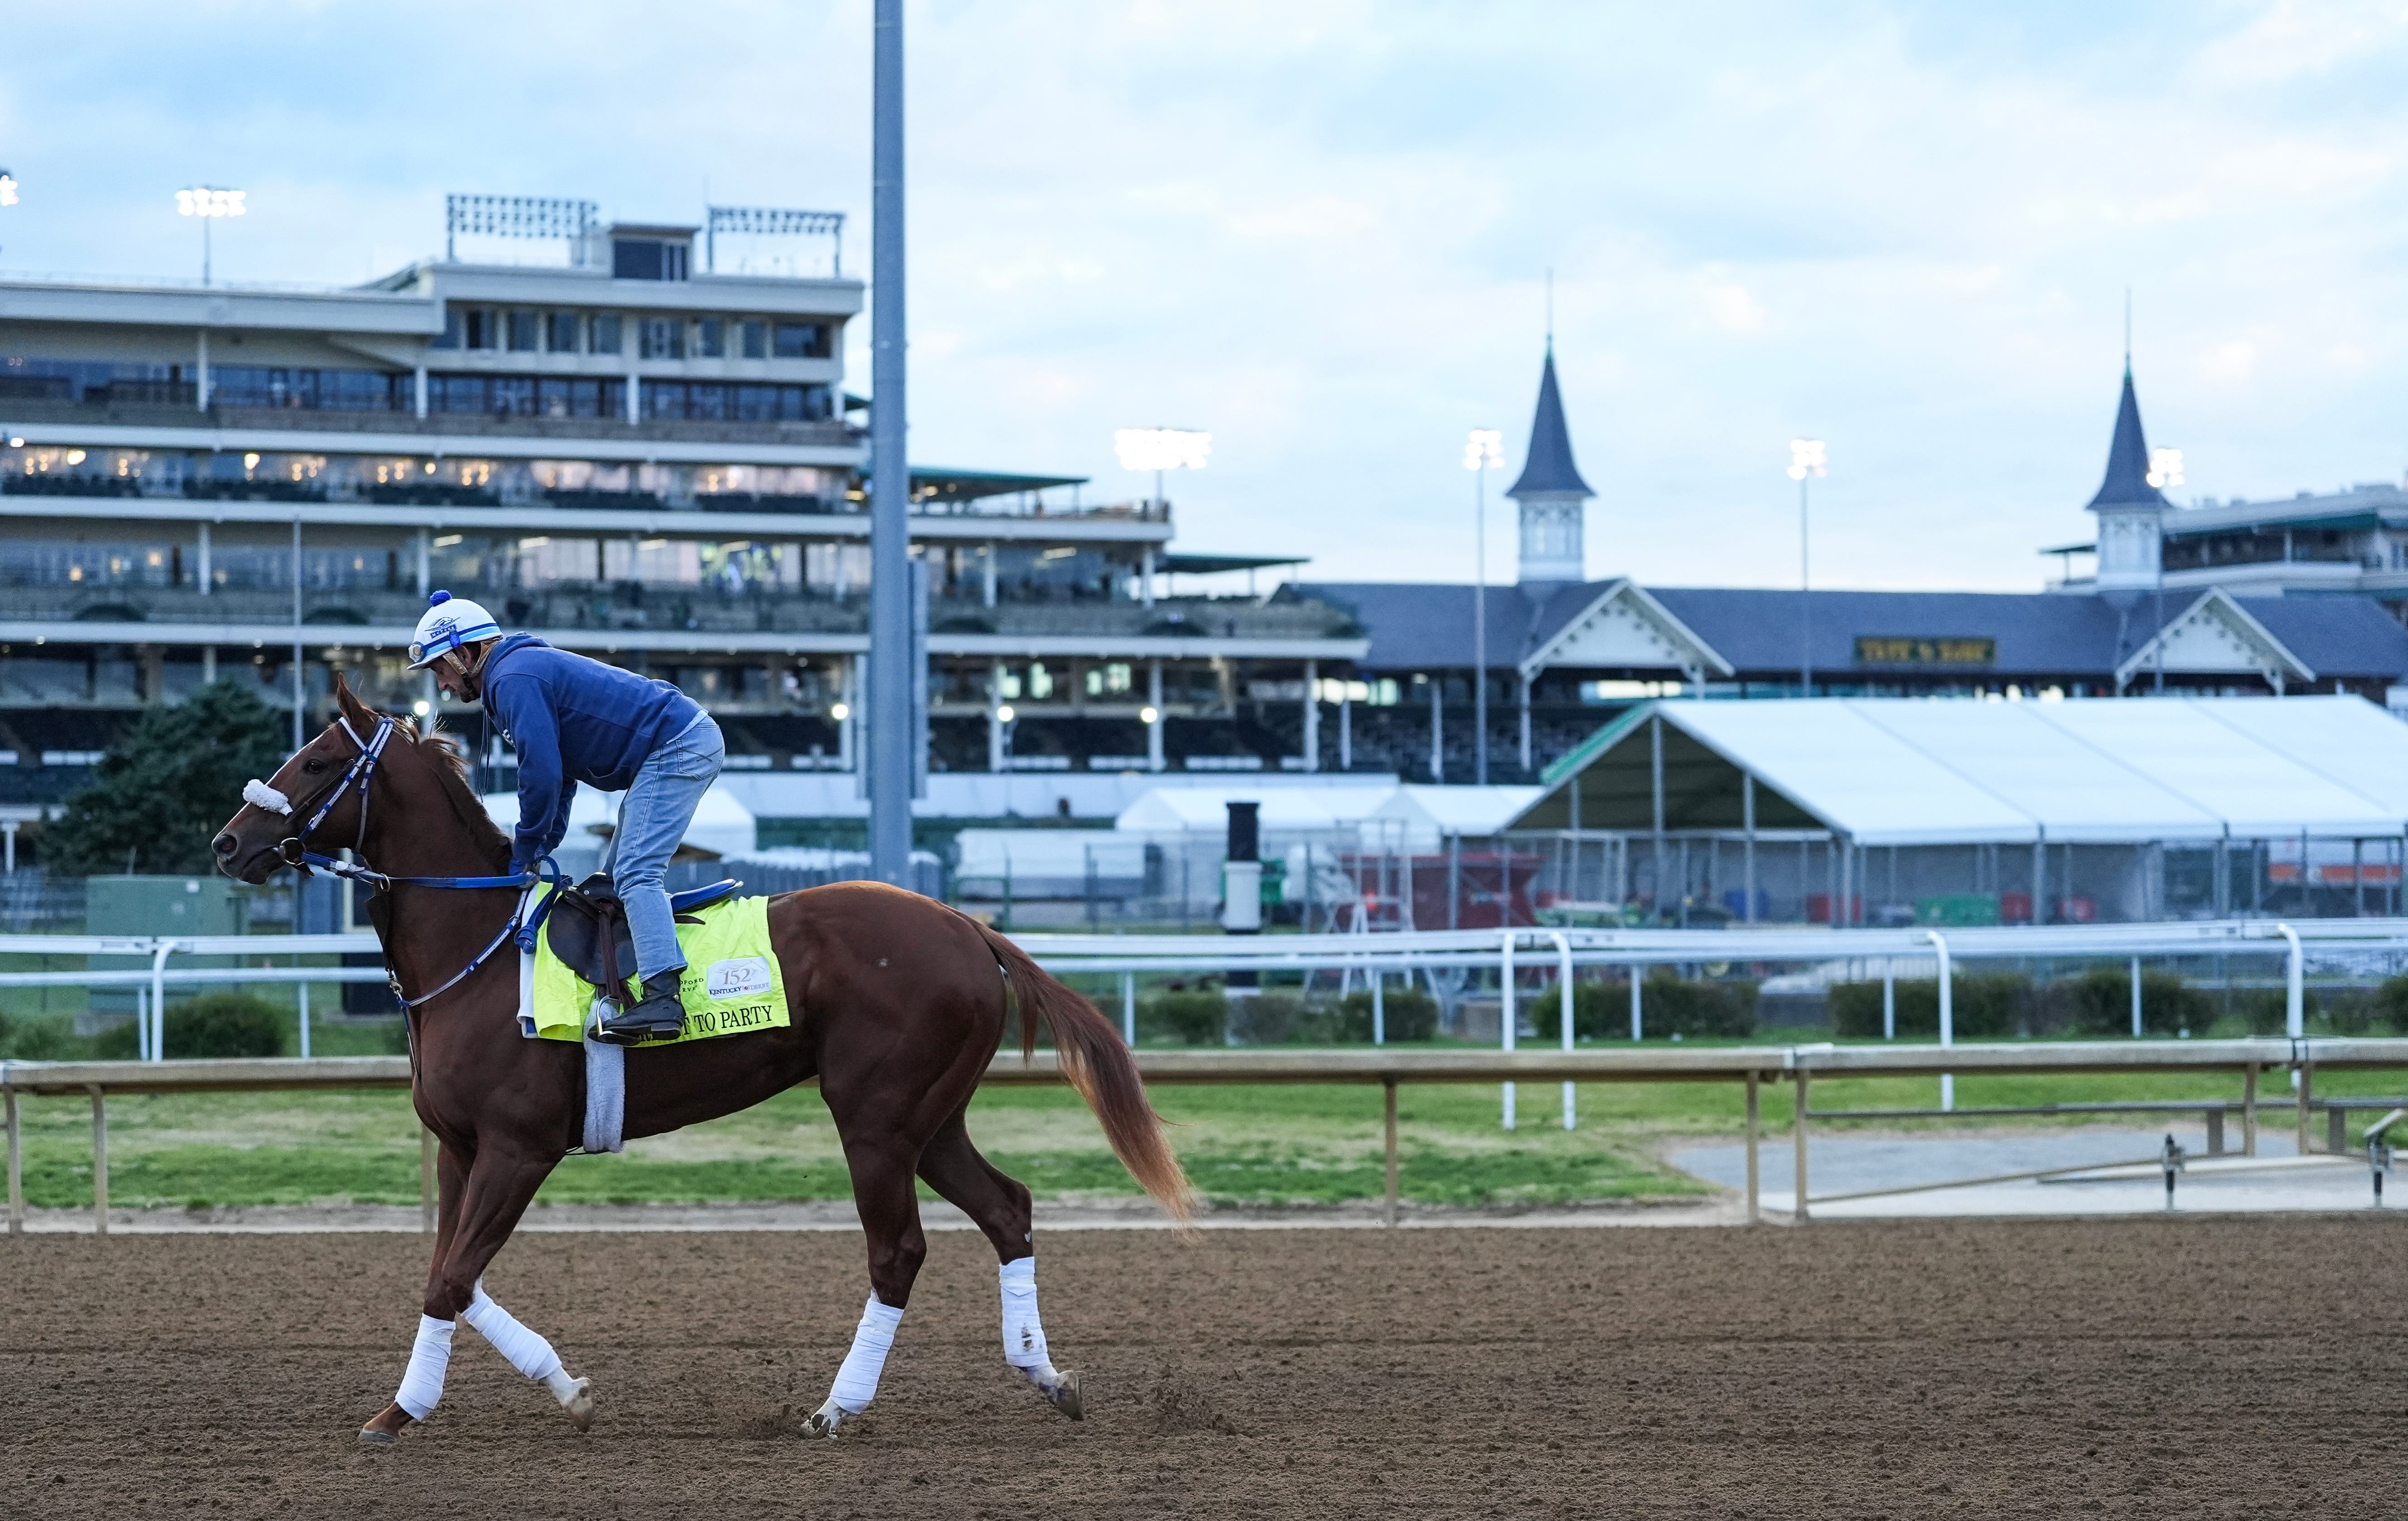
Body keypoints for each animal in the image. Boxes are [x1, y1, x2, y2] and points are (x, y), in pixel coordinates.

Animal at [210, 675, 1191, 1445]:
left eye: (315, 762)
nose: (228, 843)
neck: (478, 947)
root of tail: (968, 926)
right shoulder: (461, 1146)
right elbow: (447, 1275)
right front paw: (449, 1402)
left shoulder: (520, 1146)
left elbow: (455, 1275)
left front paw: (486, 1401)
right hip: (931, 1117)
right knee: (1008, 1209)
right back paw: (1046, 1375)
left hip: (875, 1119)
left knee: (899, 1250)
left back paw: (837, 1408)